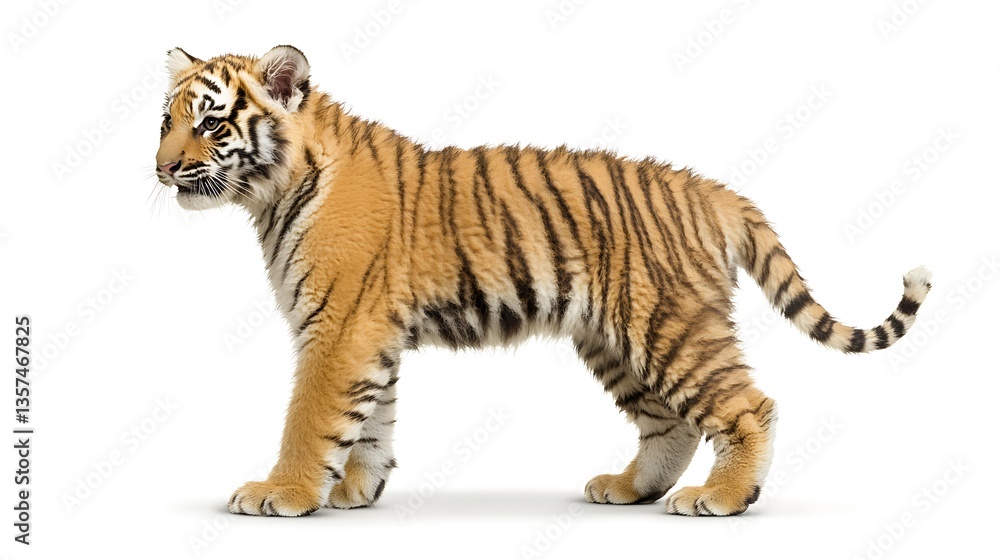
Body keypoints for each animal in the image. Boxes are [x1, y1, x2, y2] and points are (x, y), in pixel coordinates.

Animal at [154, 45, 931, 517]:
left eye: (212, 123)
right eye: (166, 119)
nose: (161, 169)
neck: (271, 195)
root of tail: (712, 190)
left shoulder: (339, 325)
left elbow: (311, 416)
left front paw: (281, 492)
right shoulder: (368, 333)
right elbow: (369, 421)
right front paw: (353, 490)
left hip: (670, 323)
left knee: (747, 406)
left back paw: (723, 496)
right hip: (613, 337)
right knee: (671, 422)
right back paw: (629, 488)